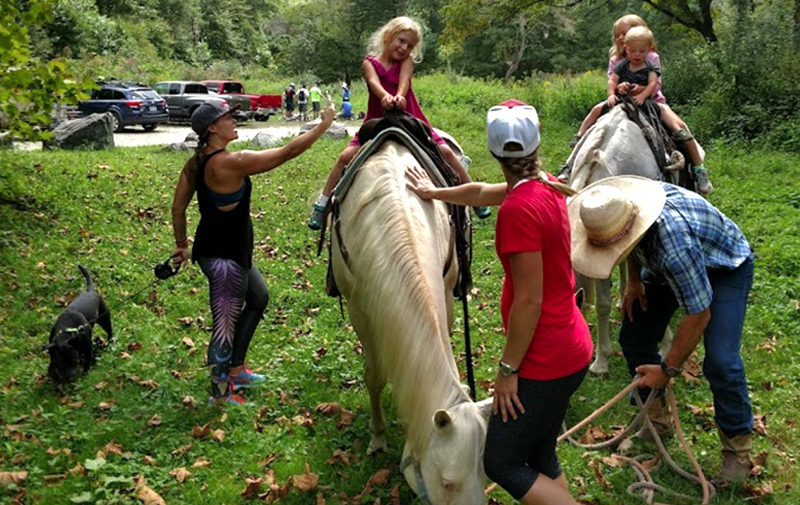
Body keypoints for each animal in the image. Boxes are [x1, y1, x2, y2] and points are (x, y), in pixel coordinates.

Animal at [332, 138, 494, 504]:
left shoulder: (446, 295)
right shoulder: (359, 308)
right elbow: (374, 376)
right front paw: (378, 437)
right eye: (447, 482)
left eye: (485, 473)